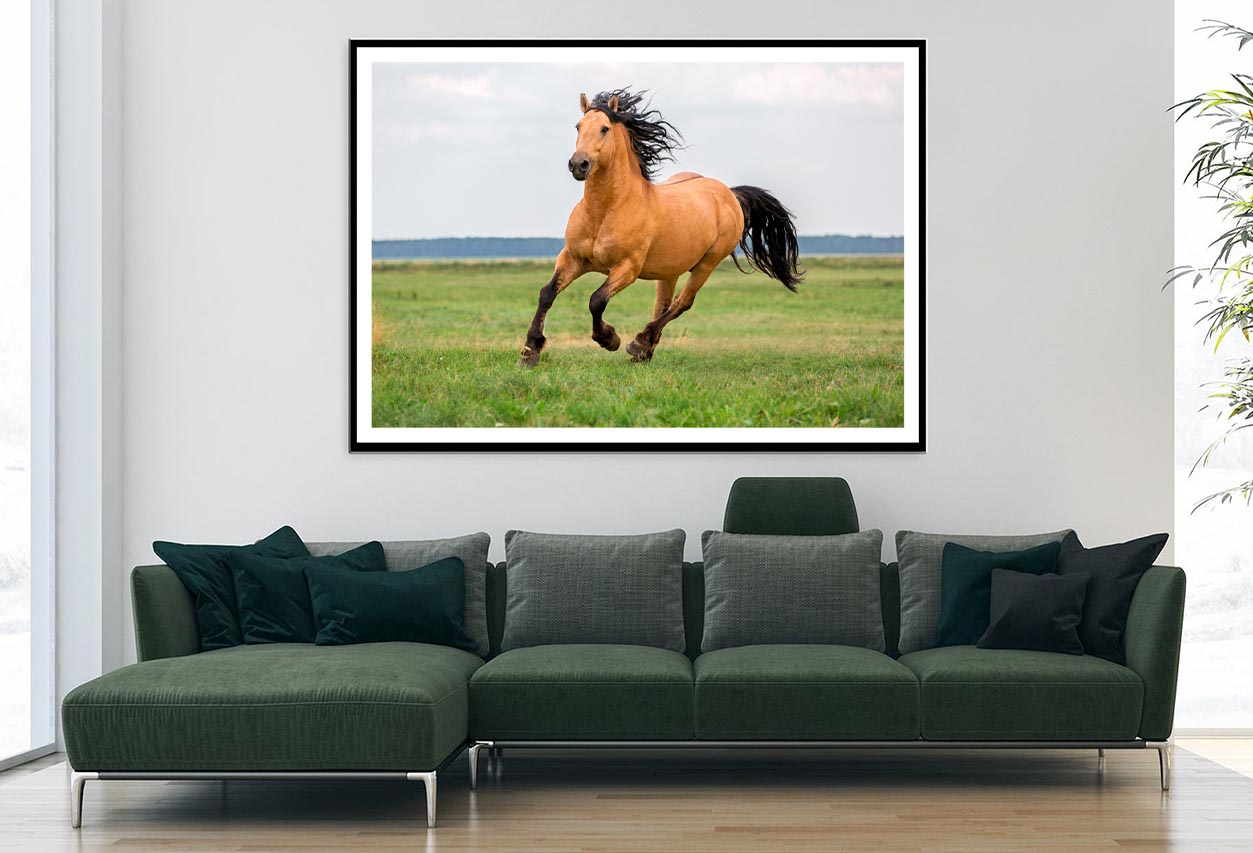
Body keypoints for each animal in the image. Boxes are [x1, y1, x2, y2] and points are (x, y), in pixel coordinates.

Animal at [518, 88, 804, 367]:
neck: (605, 212)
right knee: (663, 305)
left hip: (707, 264)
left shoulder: (627, 268)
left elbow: (596, 300)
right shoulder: (572, 259)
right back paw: (644, 351)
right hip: (670, 270)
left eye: (604, 128)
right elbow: (547, 294)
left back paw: (639, 343)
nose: (579, 164)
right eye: (578, 127)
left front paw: (609, 339)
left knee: (682, 303)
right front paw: (530, 351)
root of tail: (729, 194)